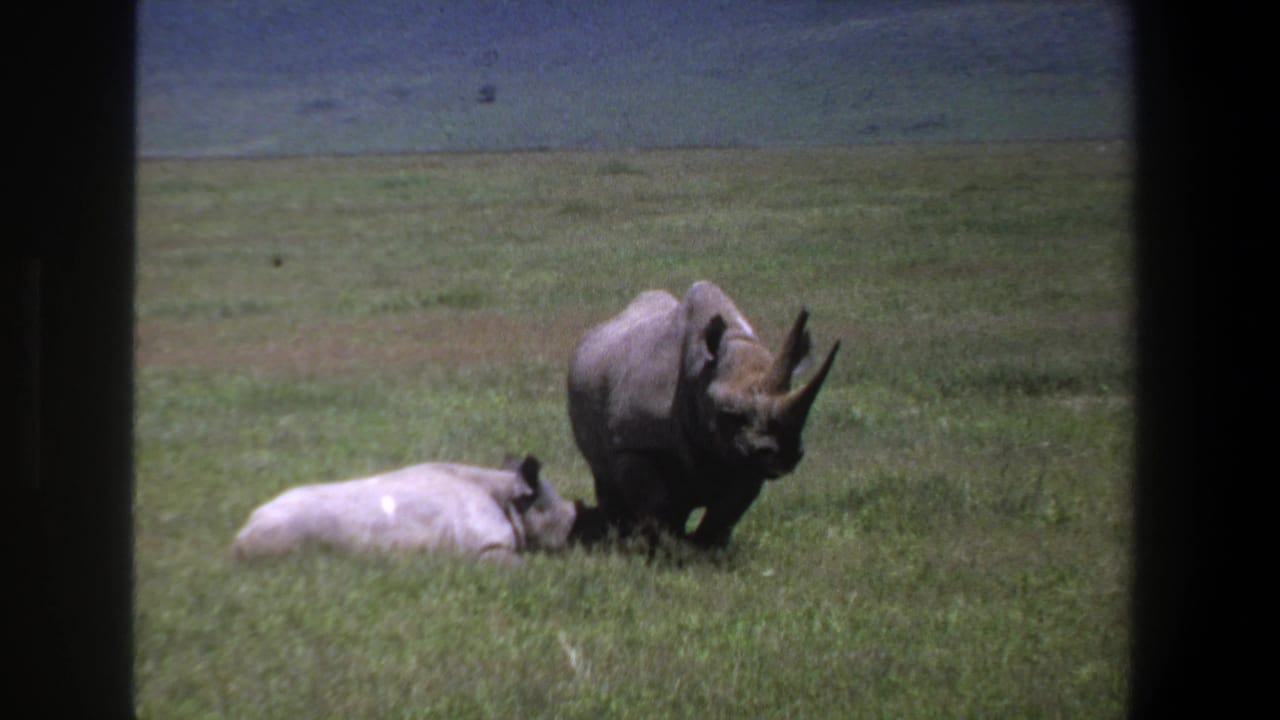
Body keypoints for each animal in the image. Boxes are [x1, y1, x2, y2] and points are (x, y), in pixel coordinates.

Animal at [568, 281, 839, 549]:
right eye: (729, 414)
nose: (784, 454)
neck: (700, 371)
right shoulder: (633, 444)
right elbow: (657, 503)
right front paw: (665, 550)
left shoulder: (746, 458)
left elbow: (726, 511)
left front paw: (706, 551)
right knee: (605, 475)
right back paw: (619, 539)